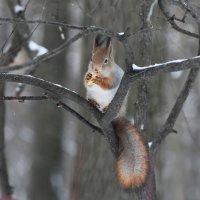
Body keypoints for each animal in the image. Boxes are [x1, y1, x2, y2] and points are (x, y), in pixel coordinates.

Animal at [83, 34, 148, 189]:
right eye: (91, 57)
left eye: (106, 60)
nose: (95, 69)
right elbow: (85, 82)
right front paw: (87, 77)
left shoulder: (116, 78)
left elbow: (109, 84)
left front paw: (99, 81)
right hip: (91, 96)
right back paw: (94, 102)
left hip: (119, 106)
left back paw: (106, 108)